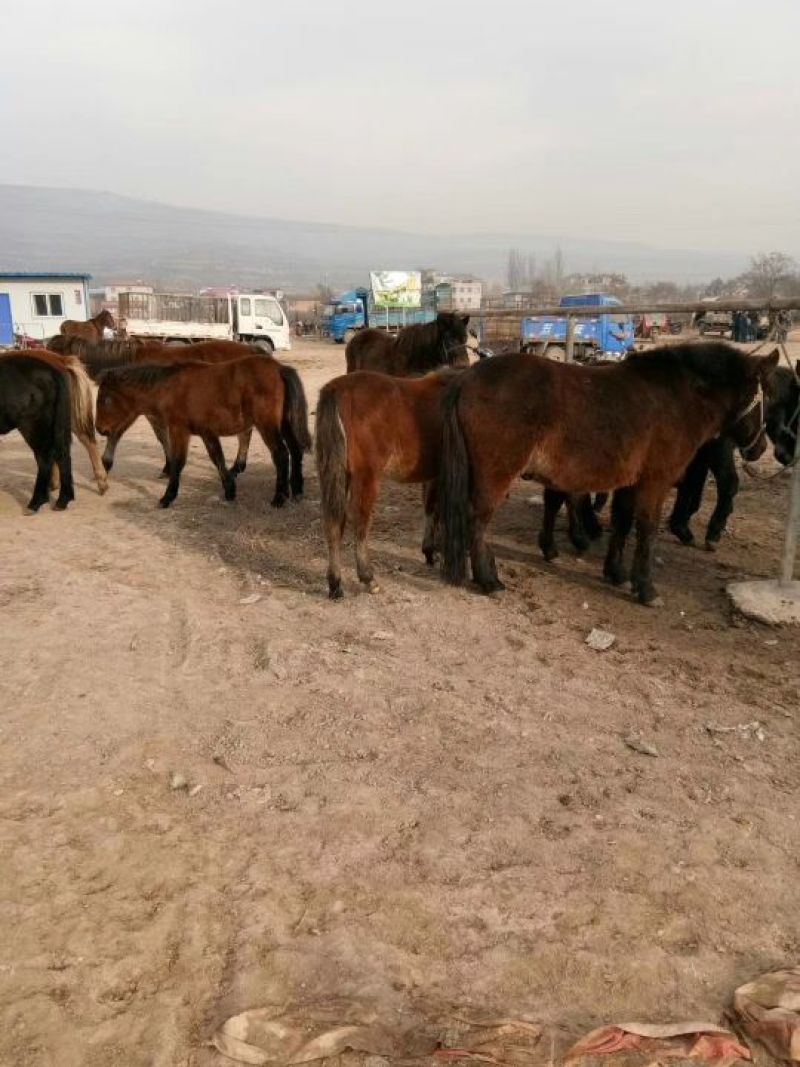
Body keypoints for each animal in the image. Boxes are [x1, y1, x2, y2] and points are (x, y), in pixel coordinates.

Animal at [0, 356, 74, 511]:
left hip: (32, 425)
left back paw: (36, 502)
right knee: (61, 454)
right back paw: (62, 500)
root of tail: (51, 371)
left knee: (44, 458)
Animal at [95, 356, 310, 509]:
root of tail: (280, 368)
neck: (170, 388)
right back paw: (297, 491)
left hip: (267, 425)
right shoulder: (207, 433)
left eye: (105, 400)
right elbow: (217, 458)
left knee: (281, 454)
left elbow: (178, 463)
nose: (100, 429)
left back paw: (279, 498)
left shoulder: (179, 430)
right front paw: (230, 490)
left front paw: (167, 497)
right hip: (284, 423)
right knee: (295, 450)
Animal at [316, 368, 462, 599]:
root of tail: (337, 389)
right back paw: (368, 578)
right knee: (360, 521)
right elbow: (439, 508)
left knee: (334, 522)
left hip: (337, 473)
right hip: (366, 476)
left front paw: (430, 551)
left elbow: (431, 507)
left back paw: (335, 584)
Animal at [438, 341, 778, 605]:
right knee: (477, 521)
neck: (676, 398)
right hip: (496, 476)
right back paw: (488, 580)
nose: (761, 448)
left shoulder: (629, 482)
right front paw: (646, 588)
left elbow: (622, 523)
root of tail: (467, 377)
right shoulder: (655, 481)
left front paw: (616, 573)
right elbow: (647, 530)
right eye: (768, 397)